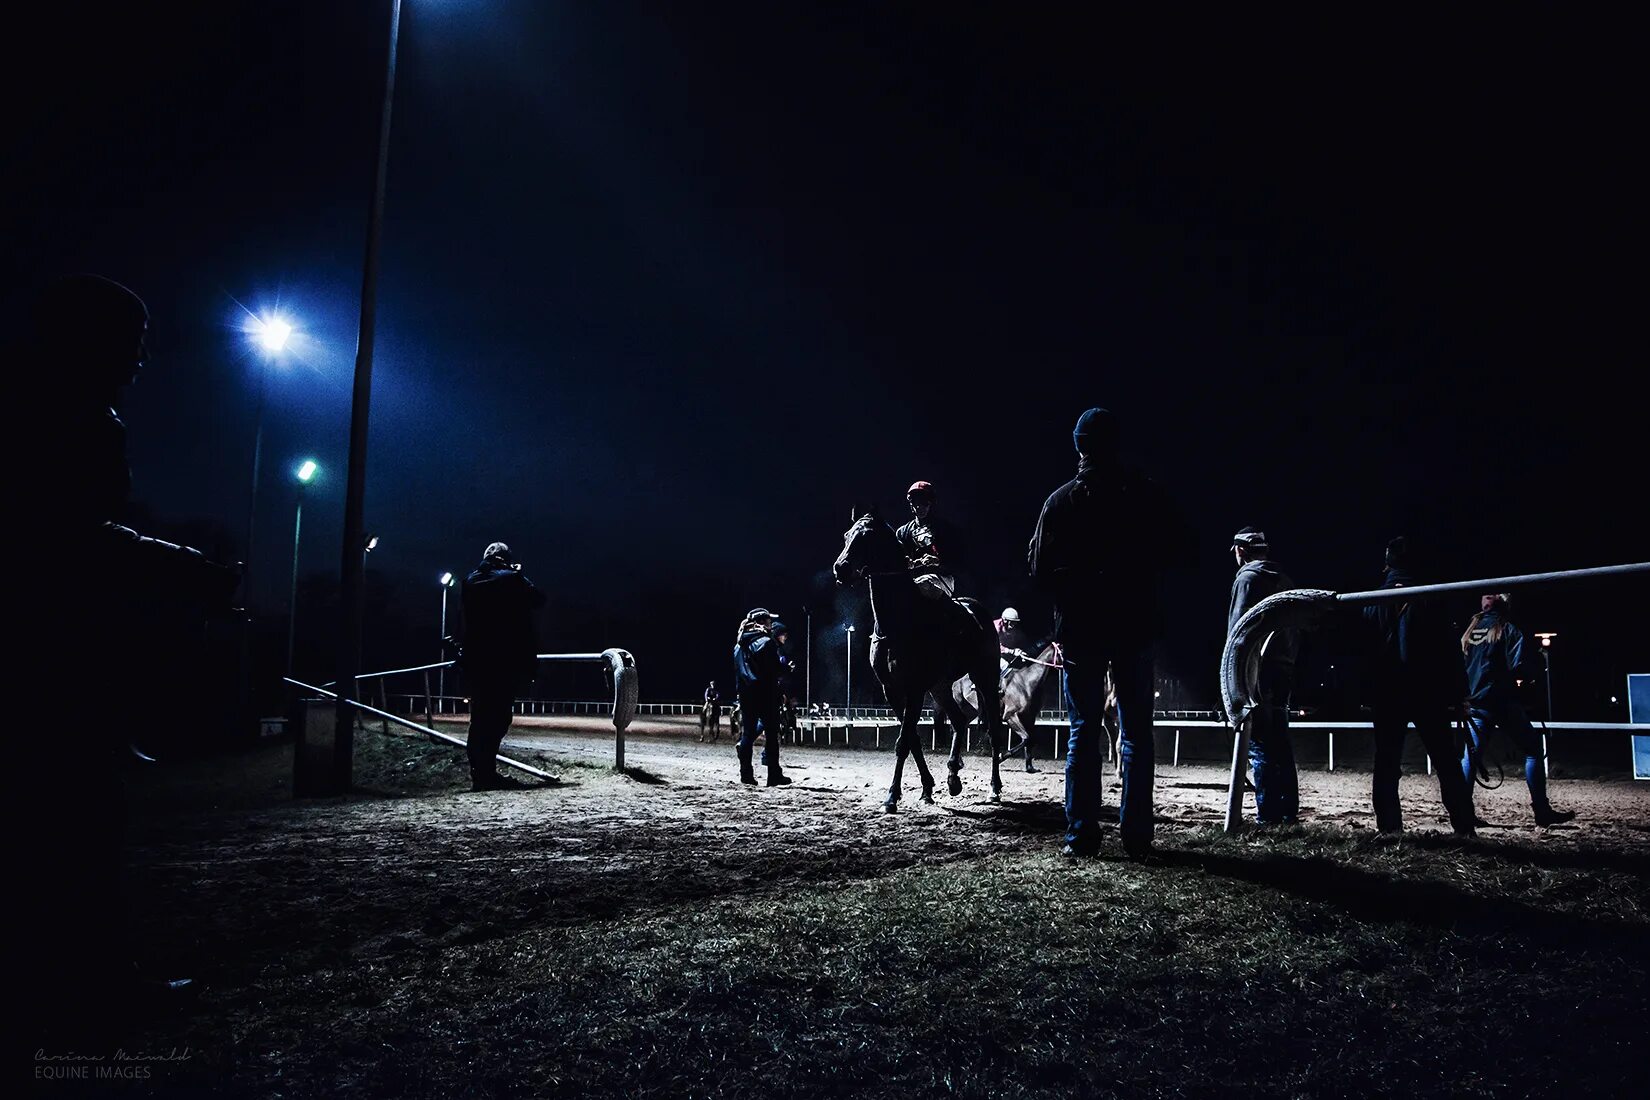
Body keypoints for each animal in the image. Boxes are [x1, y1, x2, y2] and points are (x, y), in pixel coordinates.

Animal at [825, 511, 1003, 814]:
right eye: (846, 535)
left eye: (866, 536)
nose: (841, 568)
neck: (899, 622)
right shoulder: (892, 690)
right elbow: (913, 739)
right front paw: (927, 789)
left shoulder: (915, 688)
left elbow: (904, 741)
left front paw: (891, 796)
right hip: (940, 686)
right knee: (958, 721)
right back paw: (953, 777)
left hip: (985, 679)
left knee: (993, 731)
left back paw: (994, 788)